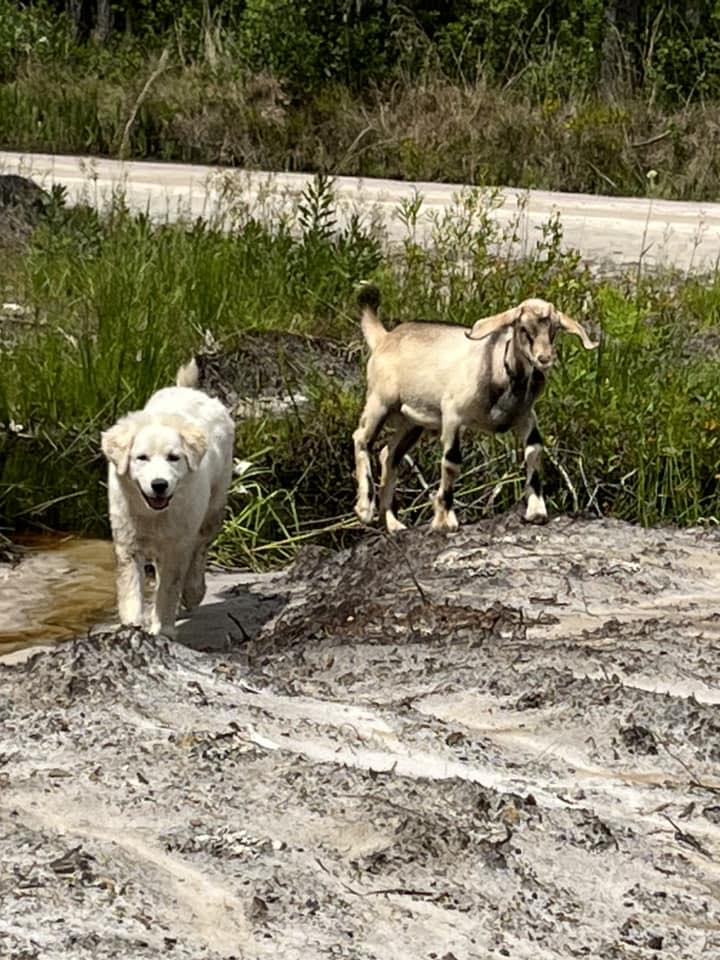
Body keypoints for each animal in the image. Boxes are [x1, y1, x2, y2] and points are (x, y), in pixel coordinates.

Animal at [352, 284, 598, 532]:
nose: (544, 358)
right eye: (523, 328)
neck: (500, 368)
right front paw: (445, 519)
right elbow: (452, 461)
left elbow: (534, 449)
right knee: (362, 438)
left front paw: (537, 512)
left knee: (389, 454)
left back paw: (392, 523)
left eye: (554, 329)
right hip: (380, 401)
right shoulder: (453, 414)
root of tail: (384, 338)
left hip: (412, 421)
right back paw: (365, 509)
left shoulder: (525, 416)